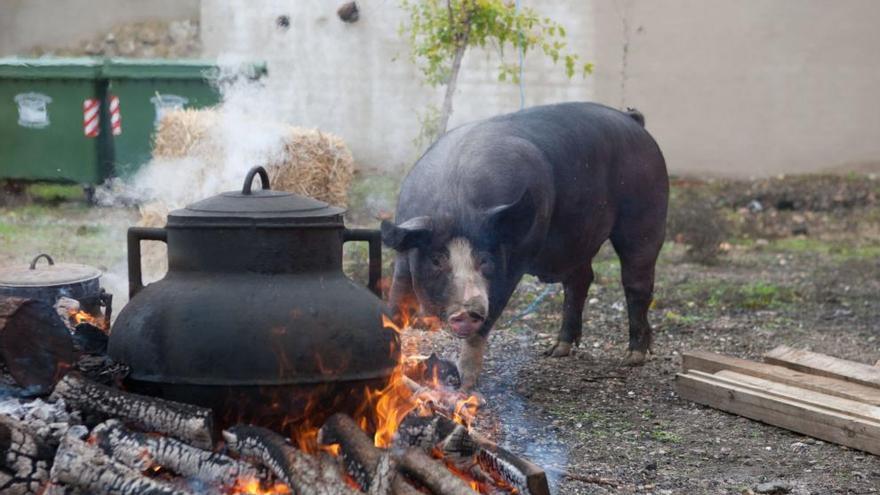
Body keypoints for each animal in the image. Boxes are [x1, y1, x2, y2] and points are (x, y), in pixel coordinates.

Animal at [382, 102, 672, 392]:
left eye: (485, 260)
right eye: (437, 260)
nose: (469, 310)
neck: (455, 203)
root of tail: (633, 121)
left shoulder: (511, 267)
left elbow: (483, 327)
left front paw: (465, 387)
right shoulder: (405, 257)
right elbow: (396, 304)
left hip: (645, 217)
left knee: (637, 283)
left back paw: (633, 357)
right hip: (577, 240)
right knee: (580, 281)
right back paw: (557, 351)